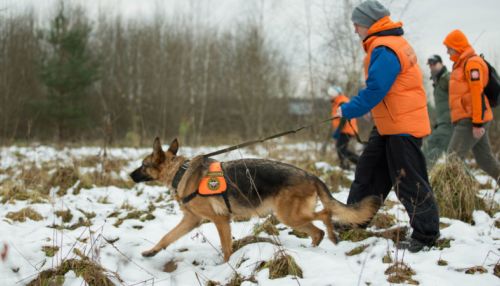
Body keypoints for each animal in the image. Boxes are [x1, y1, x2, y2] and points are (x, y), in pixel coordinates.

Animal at [130, 138, 378, 262]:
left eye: (143, 165)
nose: (129, 176)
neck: (180, 172)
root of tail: (311, 175)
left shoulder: (220, 220)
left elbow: (226, 249)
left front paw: (226, 266)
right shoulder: (191, 221)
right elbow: (167, 237)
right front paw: (152, 252)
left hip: (290, 215)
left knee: (325, 214)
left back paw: (332, 236)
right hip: (292, 218)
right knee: (316, 231)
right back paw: (313, 249)